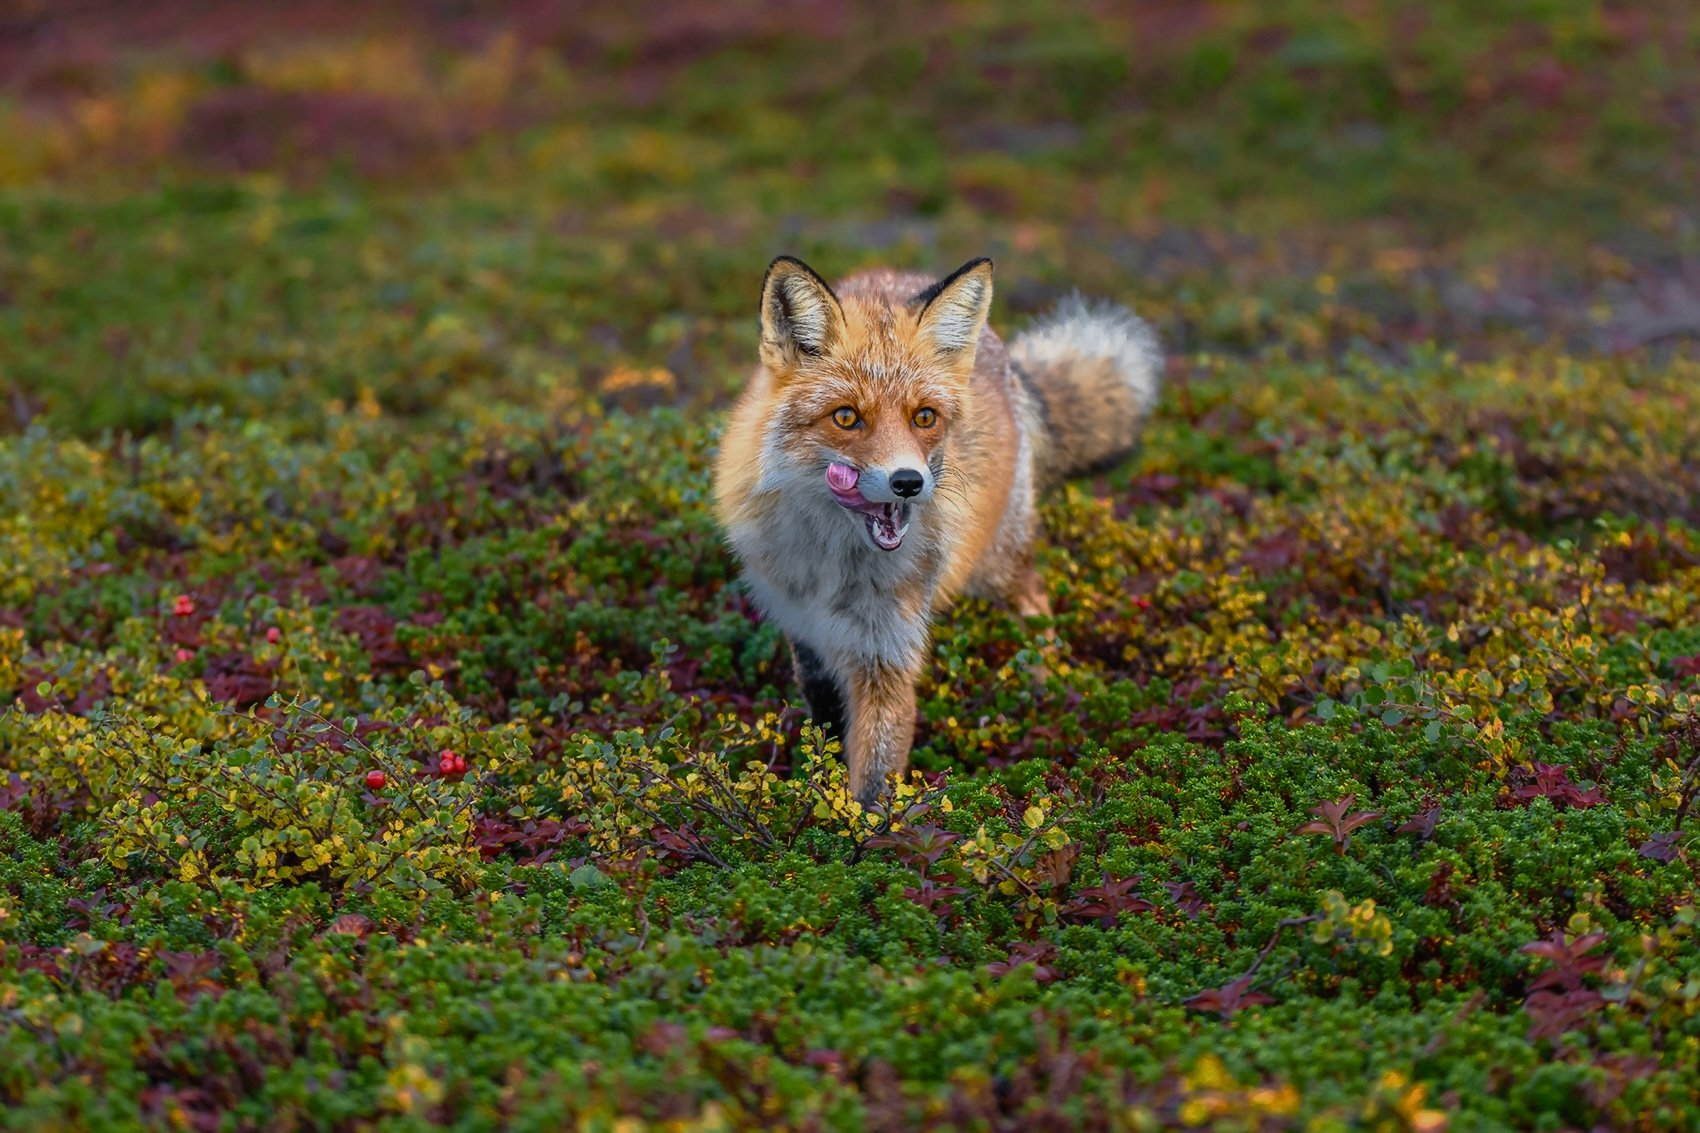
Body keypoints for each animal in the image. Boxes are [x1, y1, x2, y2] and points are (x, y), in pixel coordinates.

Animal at [703, 255, 1156, 802]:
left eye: (924, 417)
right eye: (846, 417)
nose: (908, 483)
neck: (833, 563)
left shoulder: (887, 650)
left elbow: (876, 778)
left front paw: (859, 825)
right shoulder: (805, 631)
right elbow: (827, 729)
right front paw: (822, 794)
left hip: (997, 562)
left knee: (1035, 601)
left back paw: (1040, 686)